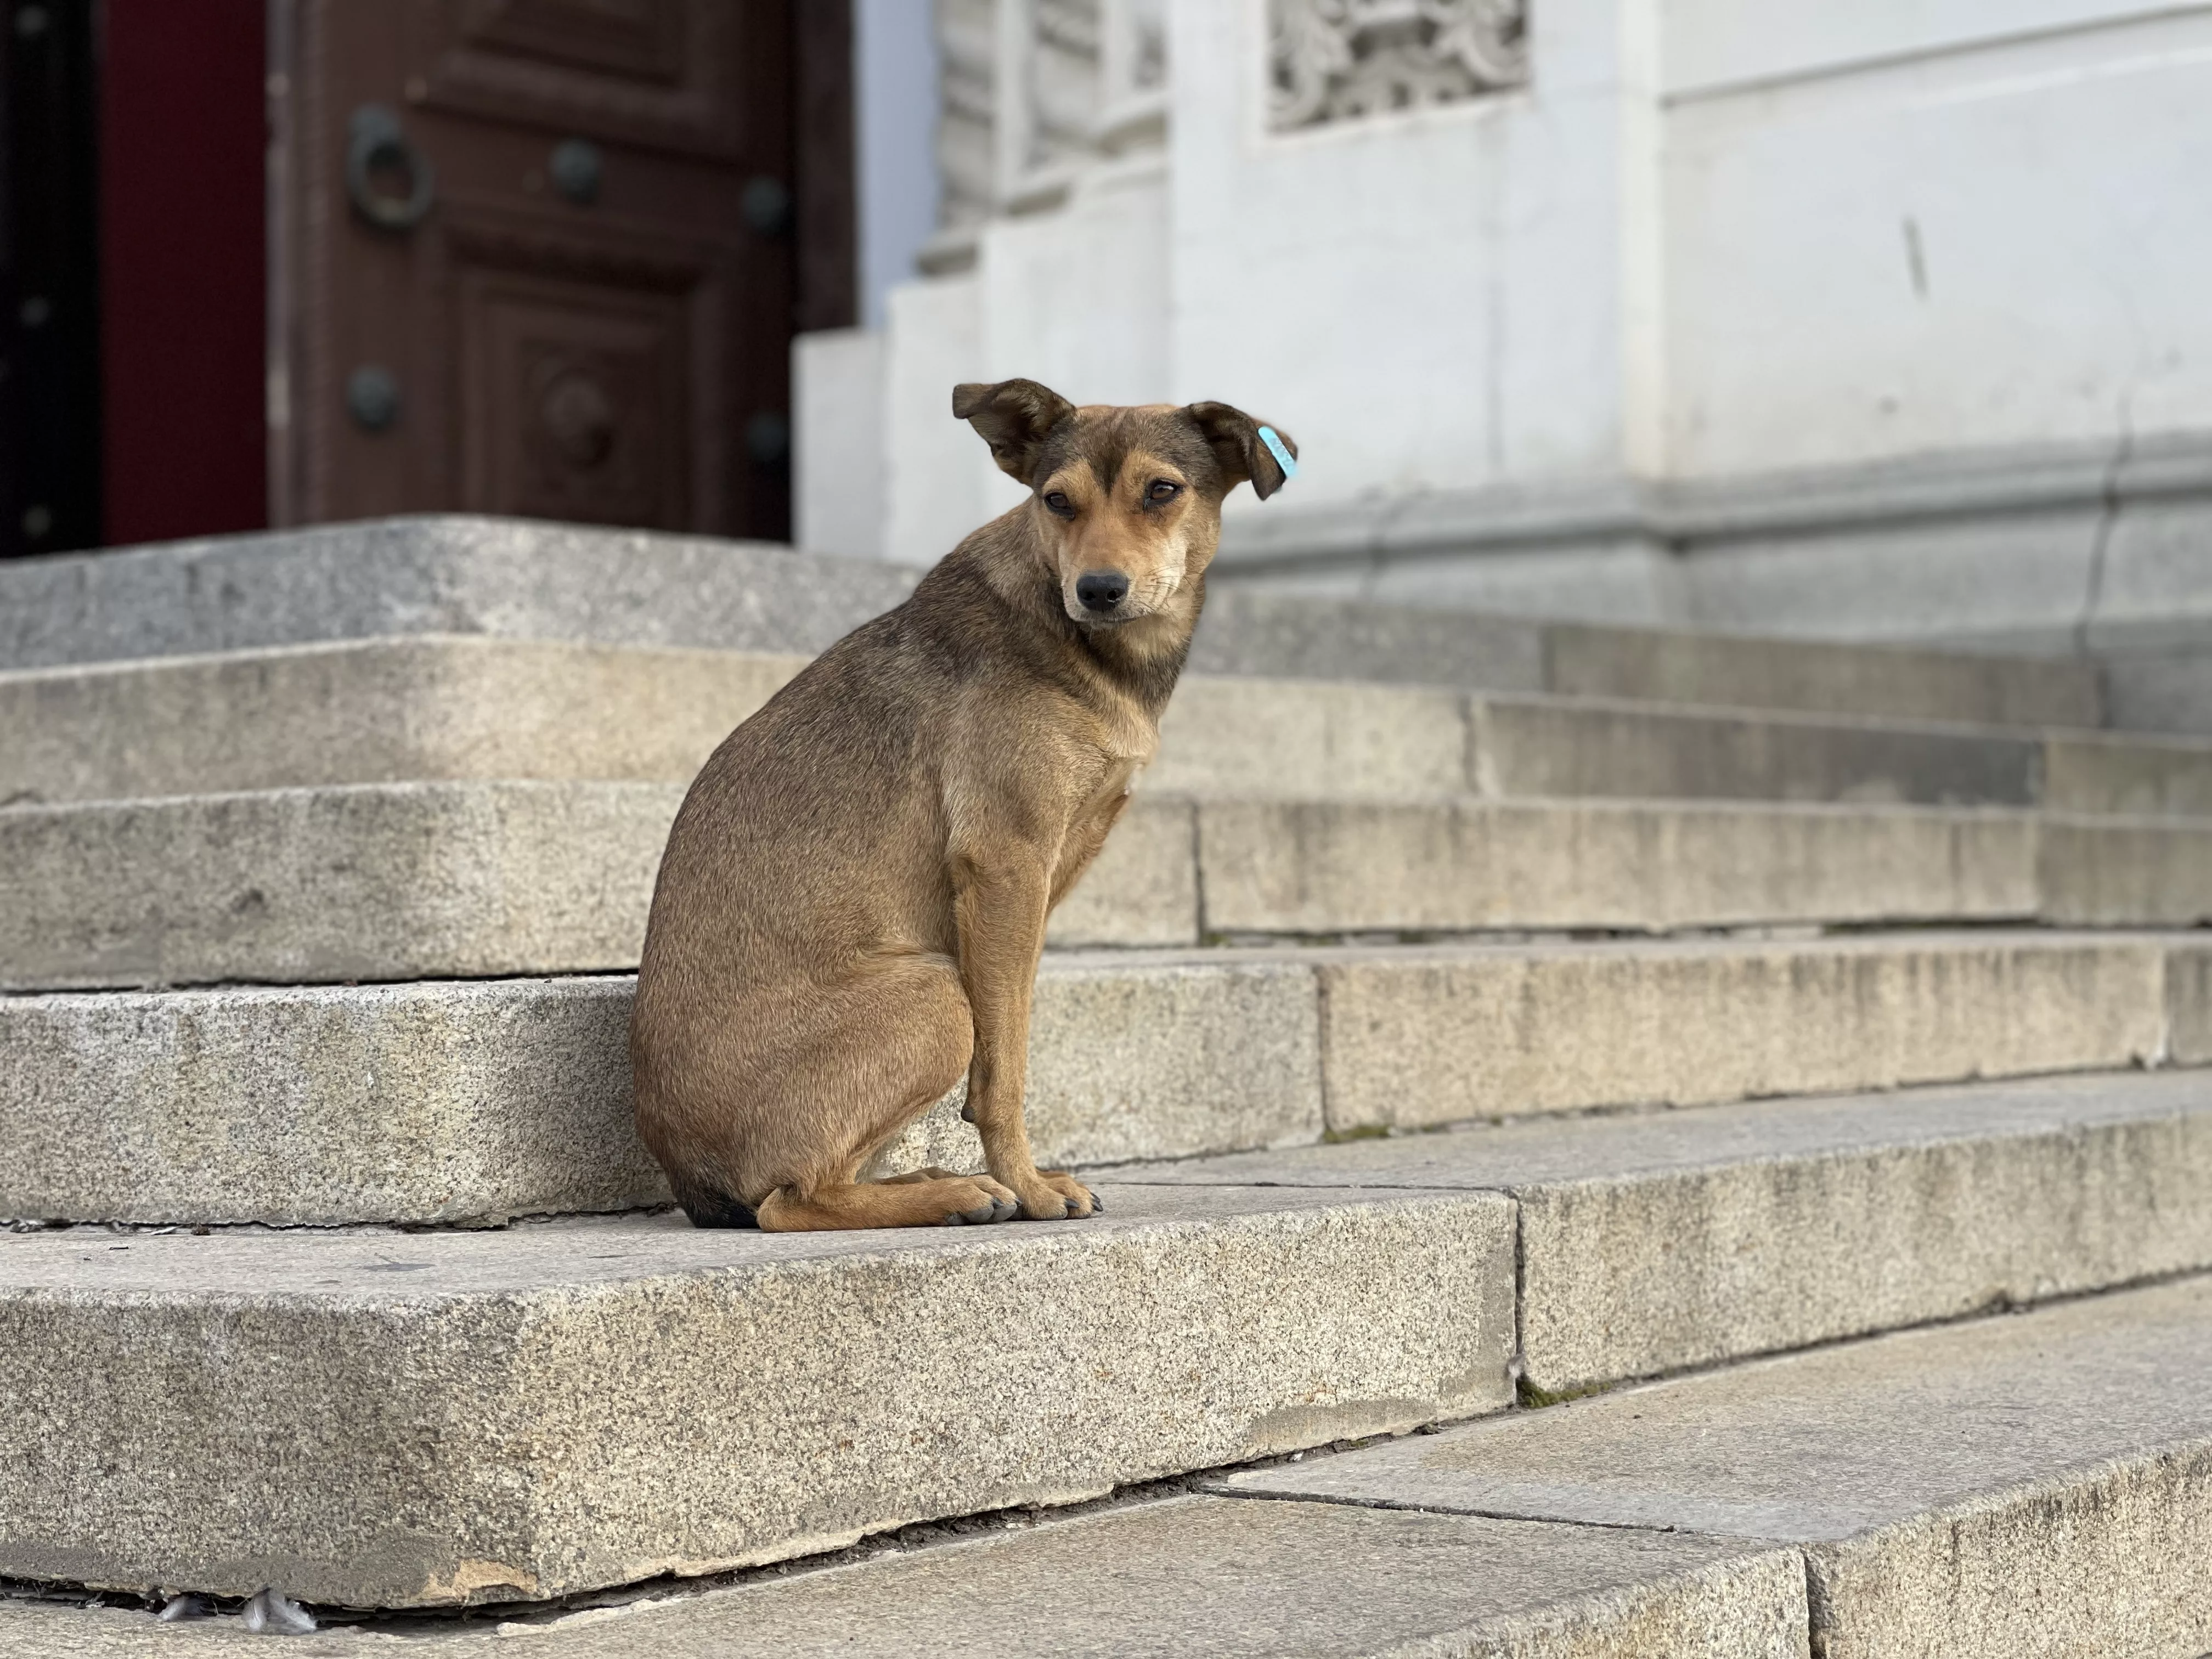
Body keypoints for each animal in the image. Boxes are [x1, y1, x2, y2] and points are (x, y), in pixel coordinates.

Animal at [633, 376, 1291, 1238]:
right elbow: (1004, 1070)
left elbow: (1005, 1049)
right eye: (1056, 501)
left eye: (1162, 491)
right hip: (934, 994)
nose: (1098, 591)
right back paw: (958, 1194)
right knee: (789, 1200)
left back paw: (939, 1182)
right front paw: (1031, 1185)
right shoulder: (1007, 866)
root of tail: (690, 1179)